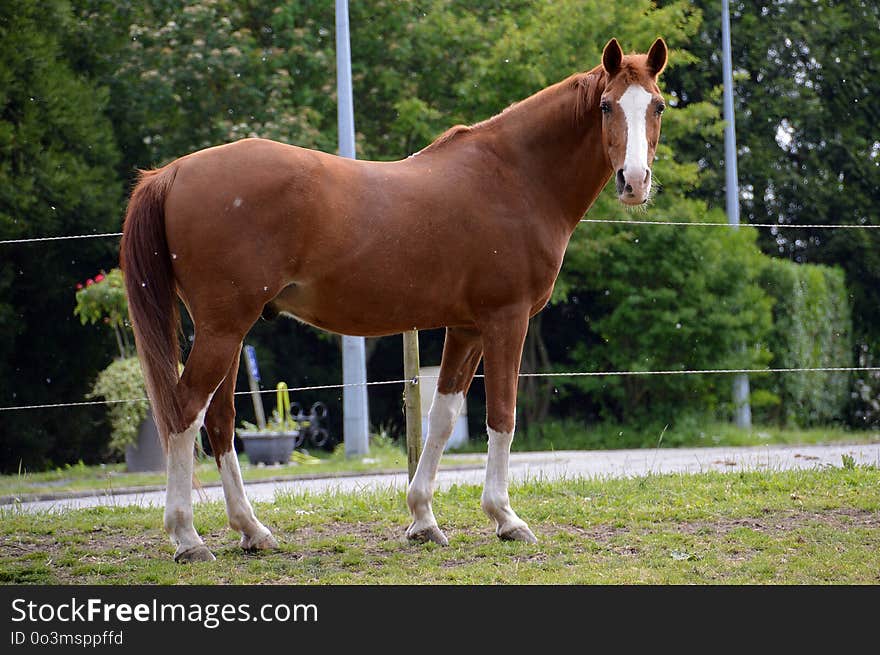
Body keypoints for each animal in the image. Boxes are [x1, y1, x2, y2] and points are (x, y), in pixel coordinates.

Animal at [118, 36, 668, 560]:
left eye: (658, 106)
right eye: (606, 105)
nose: (634, 182)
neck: (515, 177)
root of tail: (173, 172)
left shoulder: (466, 328)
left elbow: (442, 418)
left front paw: (423, 519)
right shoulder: (505, 320)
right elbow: (502, 415)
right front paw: (506, 519)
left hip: (229, 332)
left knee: (219, 420)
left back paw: (252, 531)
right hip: (223, 328)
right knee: (185, 412)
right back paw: (188, 538)